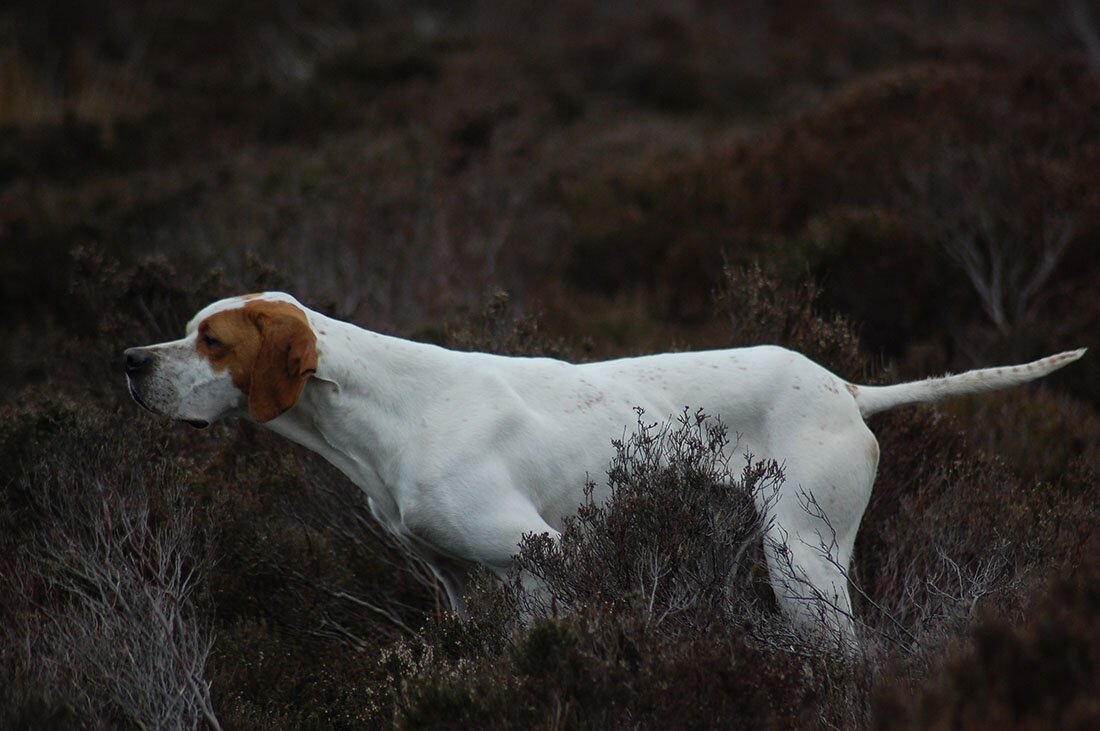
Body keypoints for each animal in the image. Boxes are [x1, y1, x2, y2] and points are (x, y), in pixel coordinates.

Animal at [128, 290, 1082, 646]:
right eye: (186, 330)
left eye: (211, 340)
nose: (129, 360)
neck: (388, 409)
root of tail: (844, 385)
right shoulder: (454, 581)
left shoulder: (539, 561)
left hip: (801, 561)